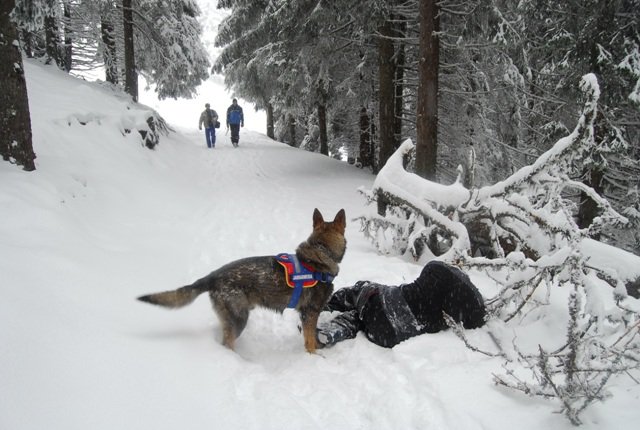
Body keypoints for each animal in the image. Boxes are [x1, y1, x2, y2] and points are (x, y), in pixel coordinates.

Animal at [138, 208, 348, 352]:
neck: (321, 250)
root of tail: (213, 275)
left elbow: (313, 338)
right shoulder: (309, 313)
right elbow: (309, 341)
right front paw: (315, 357)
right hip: (240, 318)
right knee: (227, 344)